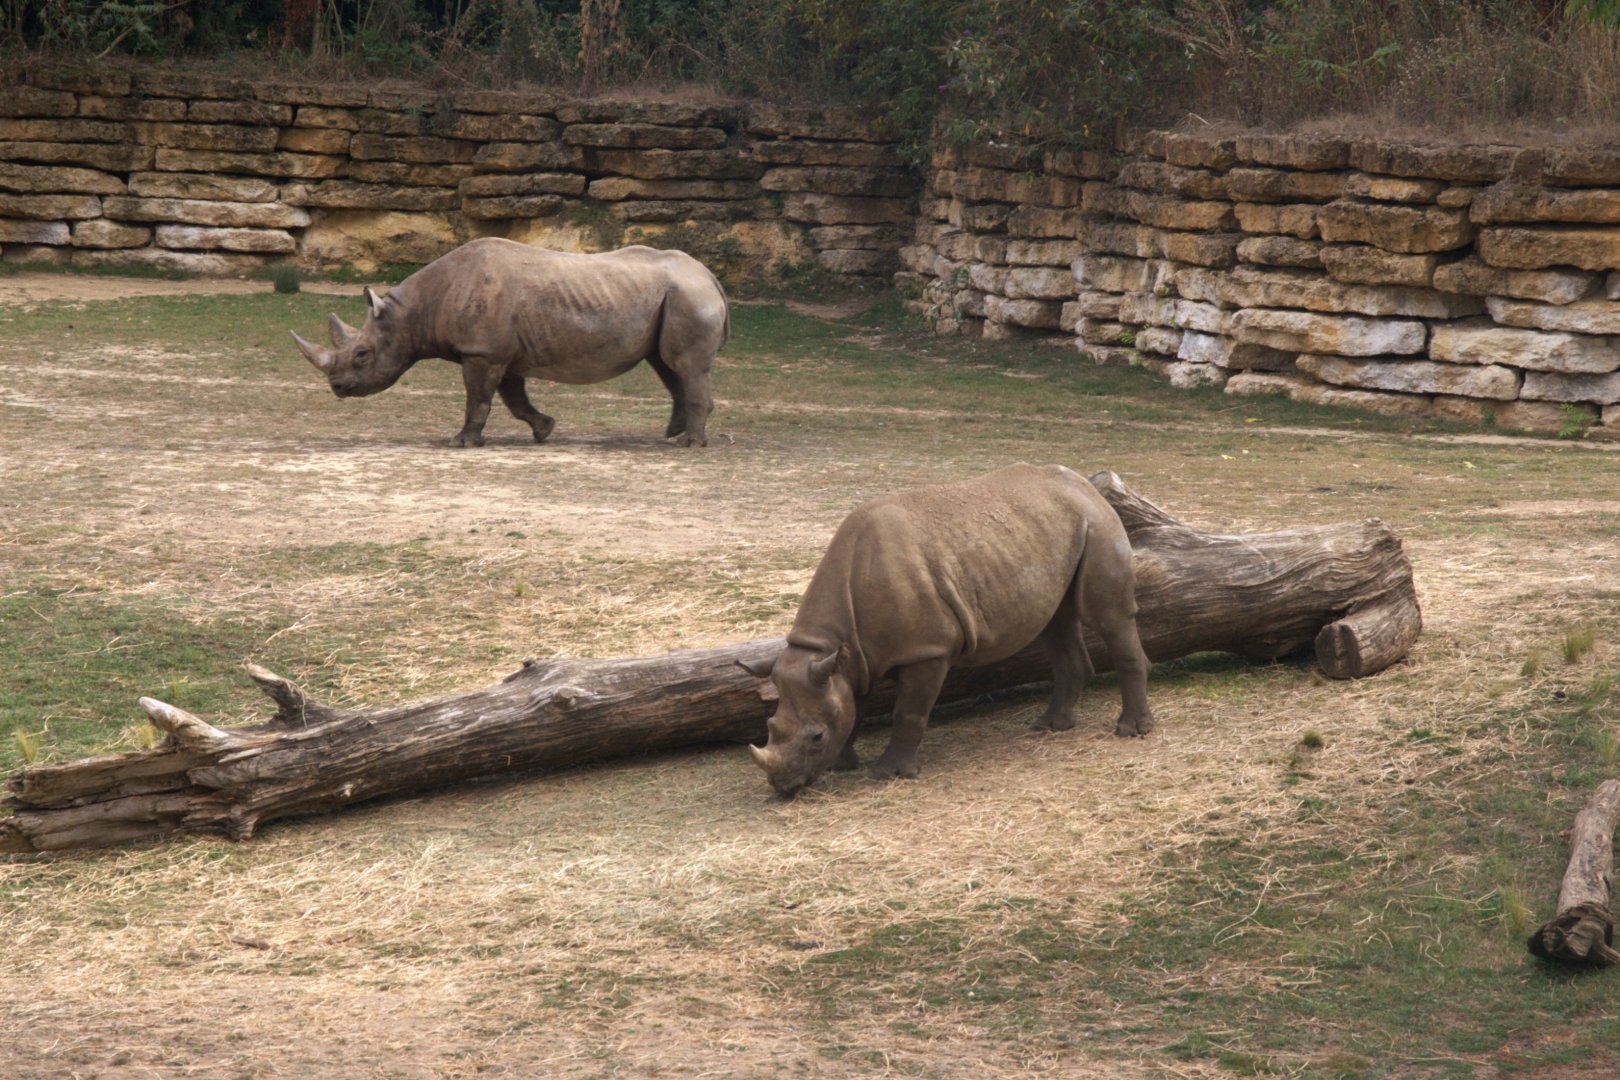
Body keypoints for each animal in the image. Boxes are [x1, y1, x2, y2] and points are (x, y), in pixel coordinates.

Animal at [291, 237, 729, 448]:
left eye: (362, 354)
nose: (337, 387)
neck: (414, 312)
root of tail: (707, 274)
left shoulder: (482, 351)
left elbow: (478, 398)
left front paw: (461, 443)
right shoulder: (502, 352)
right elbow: (513, 399)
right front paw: (544, 430)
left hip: (688, 296)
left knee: (683, 365)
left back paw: (689, 443)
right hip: (672, 297)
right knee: (666, 364)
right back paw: (672, 432)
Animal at [739, 464, 1154, 797]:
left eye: (816, 738)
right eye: (769, 727)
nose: (783, 787)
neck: (829, 645)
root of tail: (1086, 485)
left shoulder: (927, 649)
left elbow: (907, 711)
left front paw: (889, 774)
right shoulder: (855, 657)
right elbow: (855, 704)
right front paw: (843, 764)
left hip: (1098, 524)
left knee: (1108, 618)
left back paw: (1131, 731)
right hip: (1054, 530)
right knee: (1056, 621)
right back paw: (1050, 727)